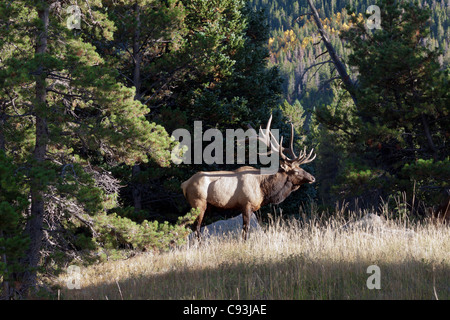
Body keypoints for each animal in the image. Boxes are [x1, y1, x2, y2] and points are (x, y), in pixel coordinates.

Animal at [180, 115, 316, 240]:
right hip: (198, 203)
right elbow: (246, 230)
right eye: (296, 171)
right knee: (196, 227)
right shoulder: (246, 204)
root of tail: (184, 184)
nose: (312, 178)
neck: (264, 191)